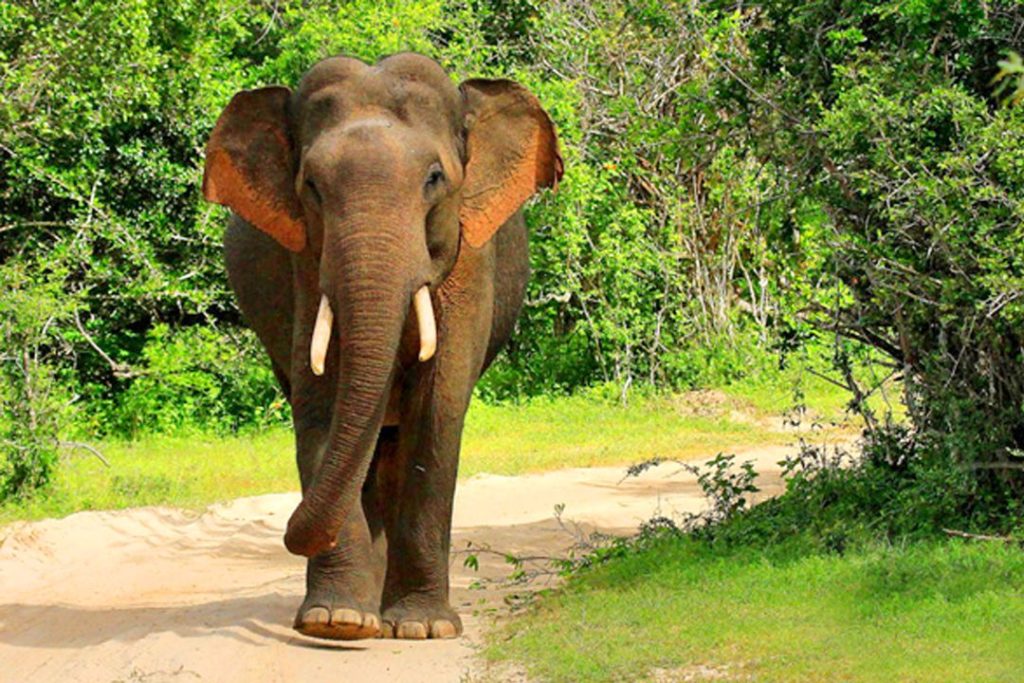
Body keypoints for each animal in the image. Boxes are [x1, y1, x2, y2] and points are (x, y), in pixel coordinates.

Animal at [200, 53, 565, 643]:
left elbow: (436, 410)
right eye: (311, 186)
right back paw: (361, 612)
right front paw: (336, 623)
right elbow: (323, 406)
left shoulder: (469, 260)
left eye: (435, 178)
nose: (288, 529)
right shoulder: (303, 263)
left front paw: (421, 628)